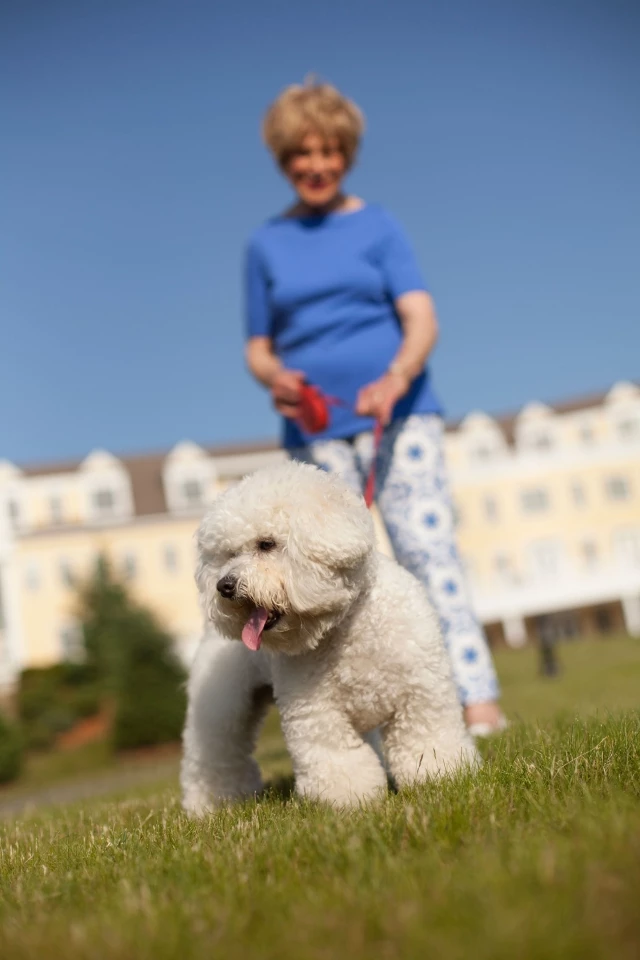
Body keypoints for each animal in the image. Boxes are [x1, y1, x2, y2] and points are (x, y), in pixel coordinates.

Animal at [180, 458, 476, 808]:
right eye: (227, 554)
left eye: (266, 544)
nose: (223, 586)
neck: (348, 627)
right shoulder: (318, 714)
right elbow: (337, 760)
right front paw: (349, 800)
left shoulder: (421, 695)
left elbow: (427, 739)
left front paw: (442, 777)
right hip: (222, 706)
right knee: (215, 754)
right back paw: (211, 804)